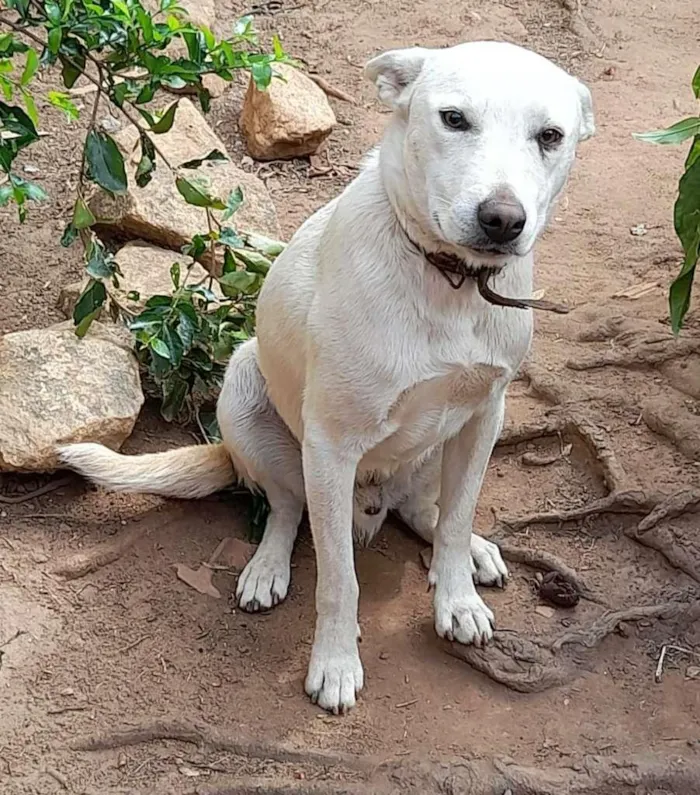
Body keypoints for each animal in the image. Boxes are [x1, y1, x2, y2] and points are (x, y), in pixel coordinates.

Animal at [60, 42, 592, 716]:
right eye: (453, 119)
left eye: (550, 136)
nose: (502, 220)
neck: (447, 282)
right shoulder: (333, 447)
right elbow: (340, 577)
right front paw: (336, 663)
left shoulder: (484, 413)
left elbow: (456, 517)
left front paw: (457, 598)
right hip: (247, 394)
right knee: (287, 508)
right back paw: (267, 567)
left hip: (443, 445)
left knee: (426, 509)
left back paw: (470, 552)